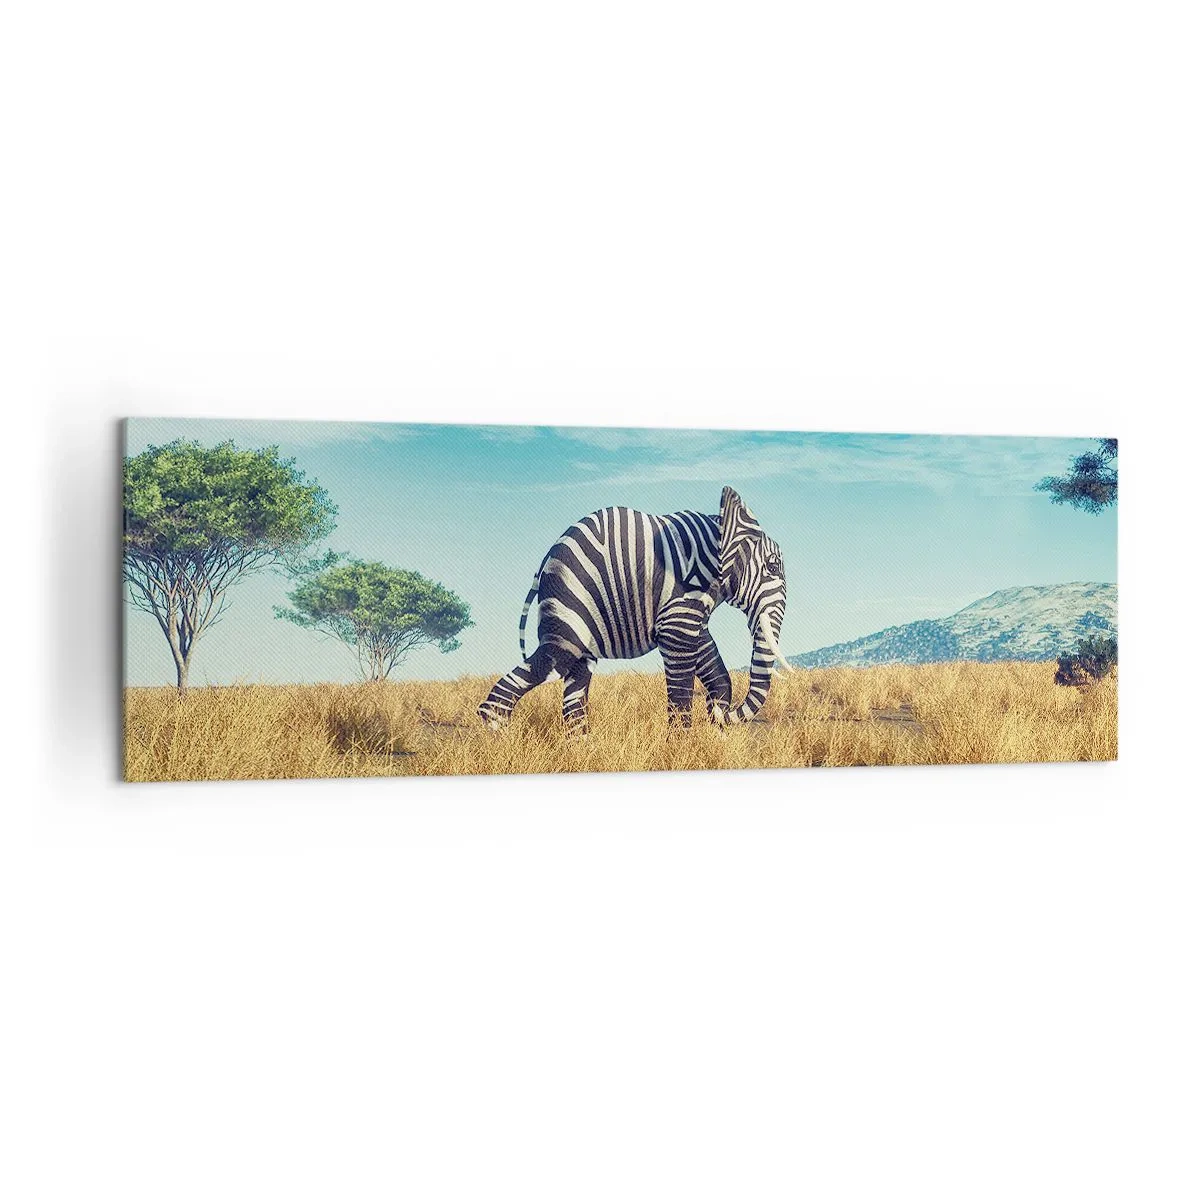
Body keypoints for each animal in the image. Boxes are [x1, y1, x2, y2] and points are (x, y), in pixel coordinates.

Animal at [478, 486, 795, 732]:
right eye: (772, 567)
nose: (724, 714)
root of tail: (545, 559)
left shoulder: (690, 610)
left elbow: (714, 667)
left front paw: (714, 729)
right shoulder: (679, 603)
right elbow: (681, 679)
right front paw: (681, 748)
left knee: (576, 683)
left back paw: (582, 751)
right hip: (569, 601)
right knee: (553, 660)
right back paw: (499, 738)